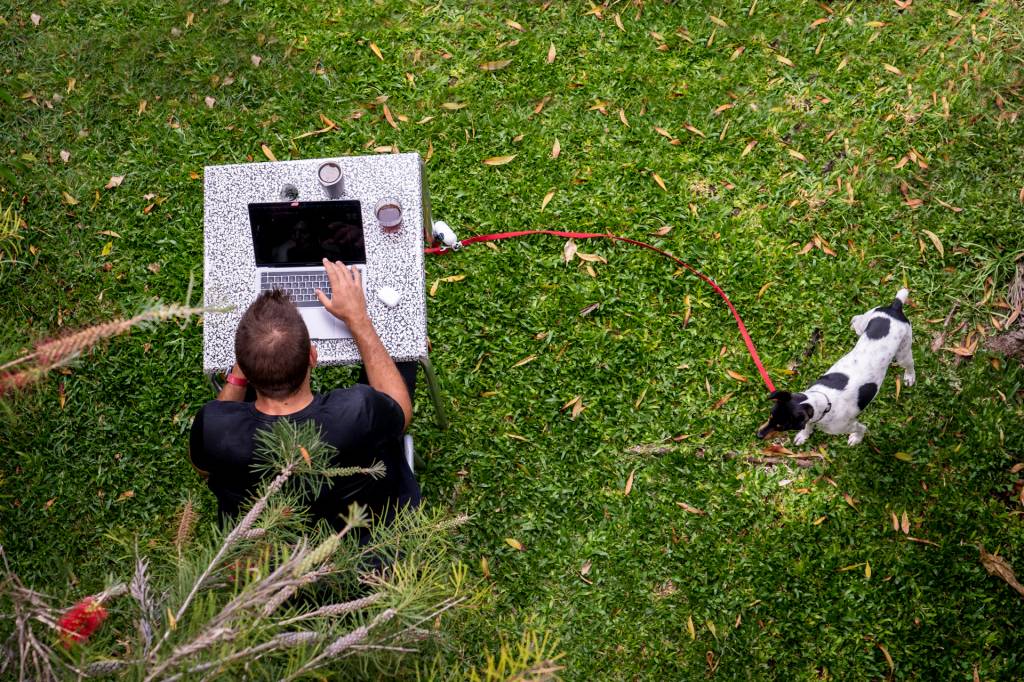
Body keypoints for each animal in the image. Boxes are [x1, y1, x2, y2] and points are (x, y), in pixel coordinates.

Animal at [757, 286, 917, 446]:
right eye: (770, 416)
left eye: (781, 426)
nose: (758, 435)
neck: (823, 402)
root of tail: (895, 307)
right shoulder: (812, 418)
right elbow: (808, 425)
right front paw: (804, 435)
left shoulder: (851, 425)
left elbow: (862, 429)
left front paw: (856, 438)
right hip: (866, 322)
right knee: (858, 320)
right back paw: (854, 322)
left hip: (903, 353)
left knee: (910, 364)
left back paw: (909, 377)